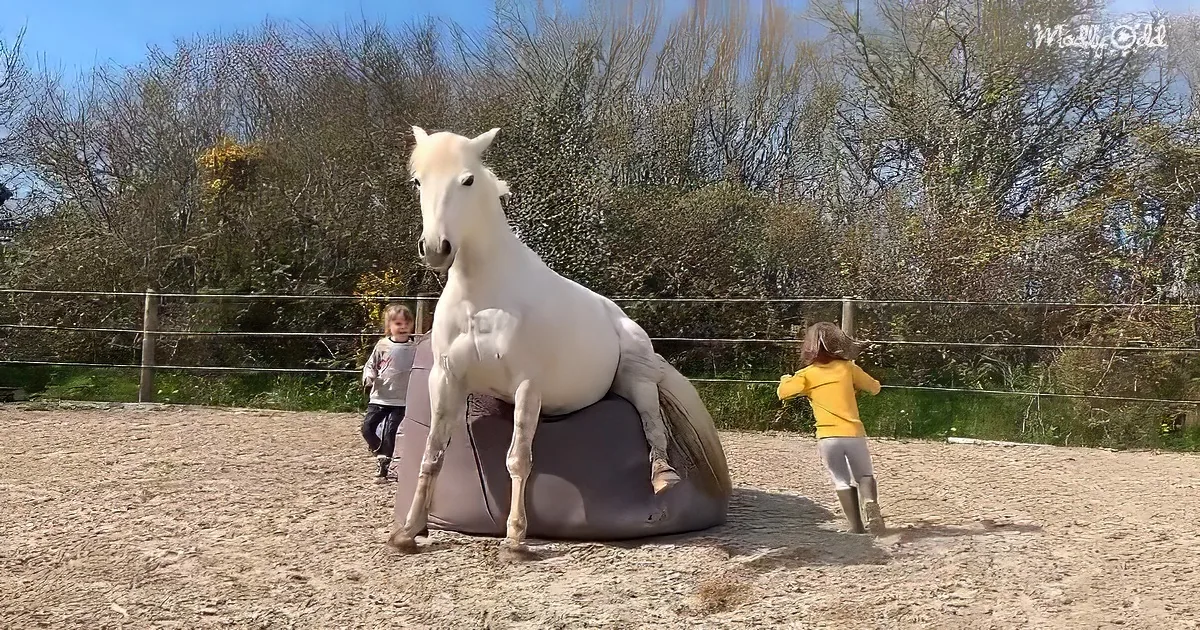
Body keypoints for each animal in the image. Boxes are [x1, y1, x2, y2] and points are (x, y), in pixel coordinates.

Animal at [388, 126, 732, 556]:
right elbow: (432, 455)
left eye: (467, 180)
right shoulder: (446, 379)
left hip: (636, 375)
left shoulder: (527, 386)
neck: (483, 297)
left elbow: (518, 459)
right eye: (418, 182)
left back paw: (663, 474)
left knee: (652, 418)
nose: (436, 249)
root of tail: (620, 317)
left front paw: (516, 539)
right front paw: (408, 532)